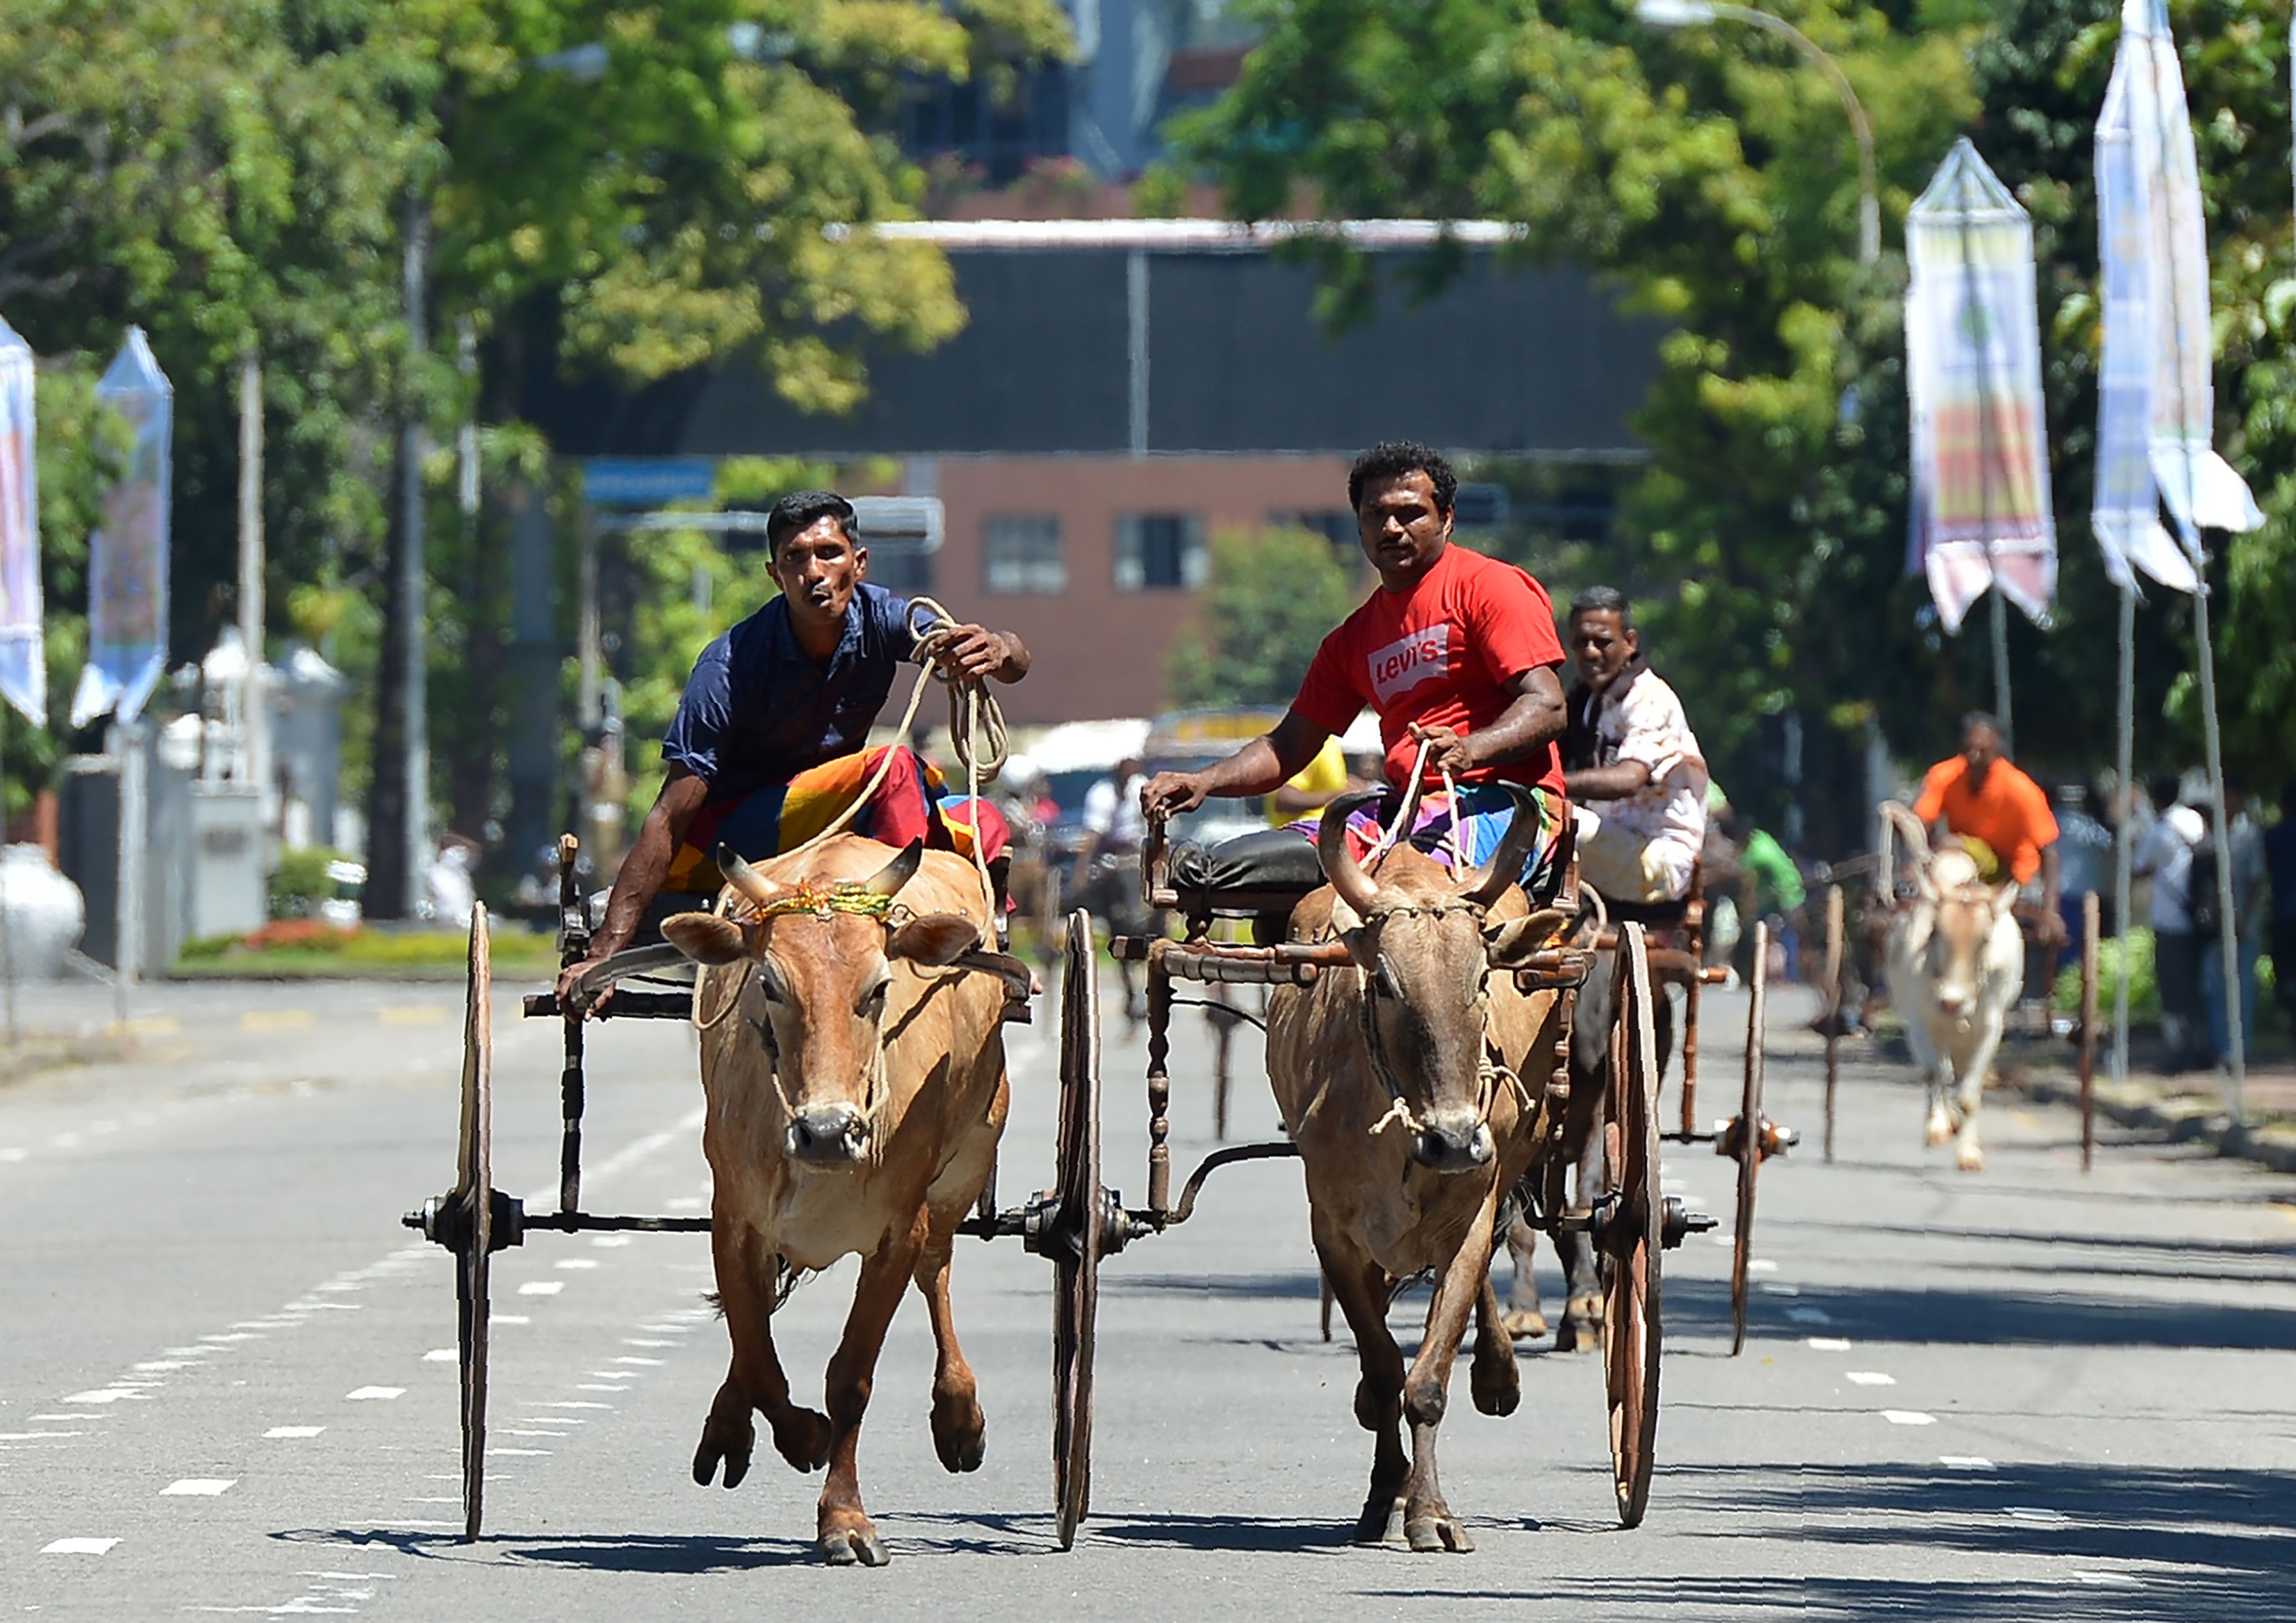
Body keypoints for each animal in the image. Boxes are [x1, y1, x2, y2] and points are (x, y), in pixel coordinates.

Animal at [666, 840, 1024, 1561]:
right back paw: (729, 1425)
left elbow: (851, 1376)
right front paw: (801, 1433)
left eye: (878, 988)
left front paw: (845, 1518)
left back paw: (959, 1416)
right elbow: (757, 1351)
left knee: (938, 1272)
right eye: (769, 984)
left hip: (966, 1166)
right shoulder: (734, 1217)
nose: (828, 1131)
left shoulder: (899, 1228)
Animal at [1267, 794, 1570, 1552]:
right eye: (1383, 982)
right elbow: (1381, 1373)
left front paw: (1429, 1511)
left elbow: (1427, 1380)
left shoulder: (1468, 1220)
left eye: (1482, 978)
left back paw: (1498, 1376)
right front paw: (1385, 1495)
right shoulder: (1335, 1234)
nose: (1455, 1140)